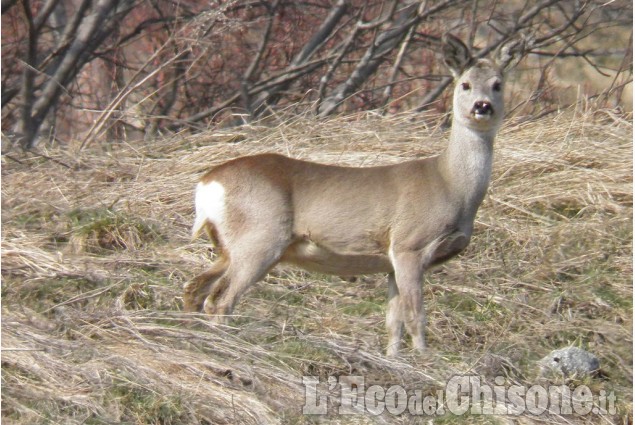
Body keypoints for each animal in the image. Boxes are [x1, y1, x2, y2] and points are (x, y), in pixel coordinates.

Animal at [186, 34, 524, 356]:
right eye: (465, 84)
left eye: (498, 84)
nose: (482, 106)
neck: (450, 184)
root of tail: (207, 182)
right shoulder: (409, 244)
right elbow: (416, 316)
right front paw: (425, 360)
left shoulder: (390, 261)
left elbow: (393, 322)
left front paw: (394, 360)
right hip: (260, 235)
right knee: (220, 300)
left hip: (229, 245)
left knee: (195, 288)